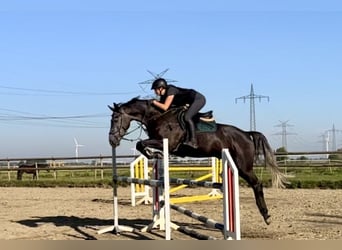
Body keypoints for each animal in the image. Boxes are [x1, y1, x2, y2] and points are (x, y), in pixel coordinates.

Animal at [108, 97, 288, 225]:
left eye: (115, 118)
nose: (112, 140)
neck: (158, 117)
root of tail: (246, 133)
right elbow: (141, 144)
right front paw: (155, 155)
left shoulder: (168, 143)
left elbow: (141, 143)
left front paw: (153, 154)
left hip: (243, 166)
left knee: (256, 184)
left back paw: (266, 215)